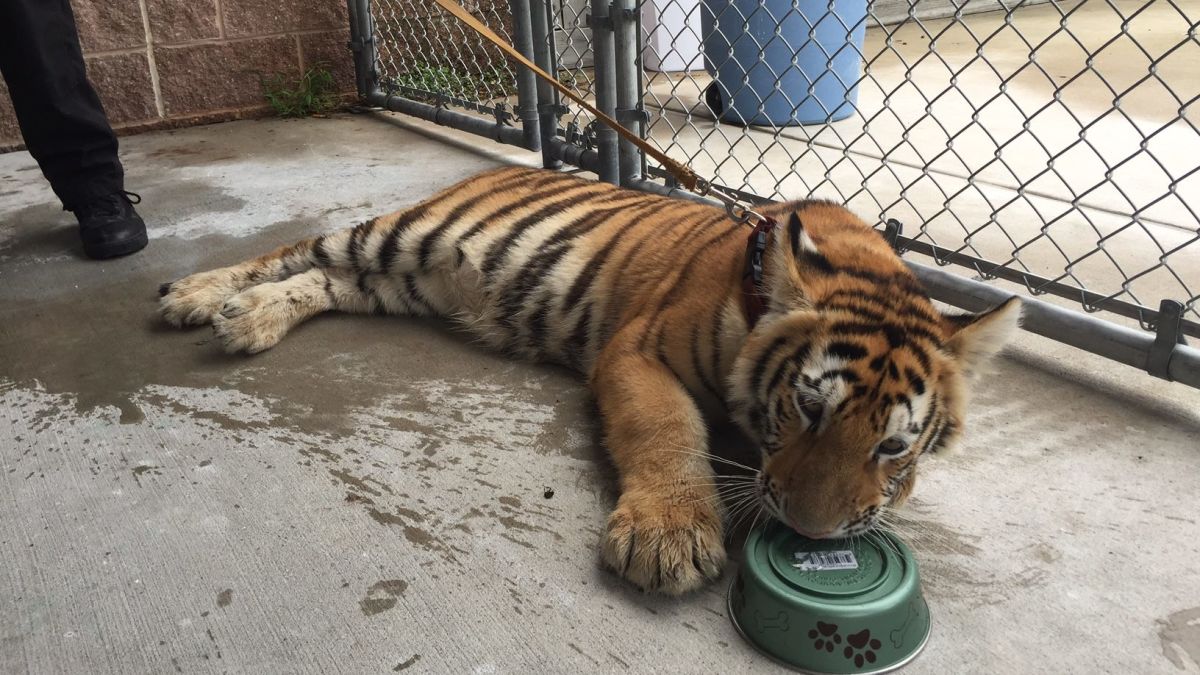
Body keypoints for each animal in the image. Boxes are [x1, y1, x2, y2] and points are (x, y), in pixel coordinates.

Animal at [162, 164, 1022, 593]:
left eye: (892, 446)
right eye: (807, 407)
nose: (810, 535)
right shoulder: (638, 353)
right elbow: (668, 431)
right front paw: (670, 536)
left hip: (399, 282)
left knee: (321, 281)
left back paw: (249, 319)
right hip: (394, 237)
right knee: (294, 250)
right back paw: (197, 295)